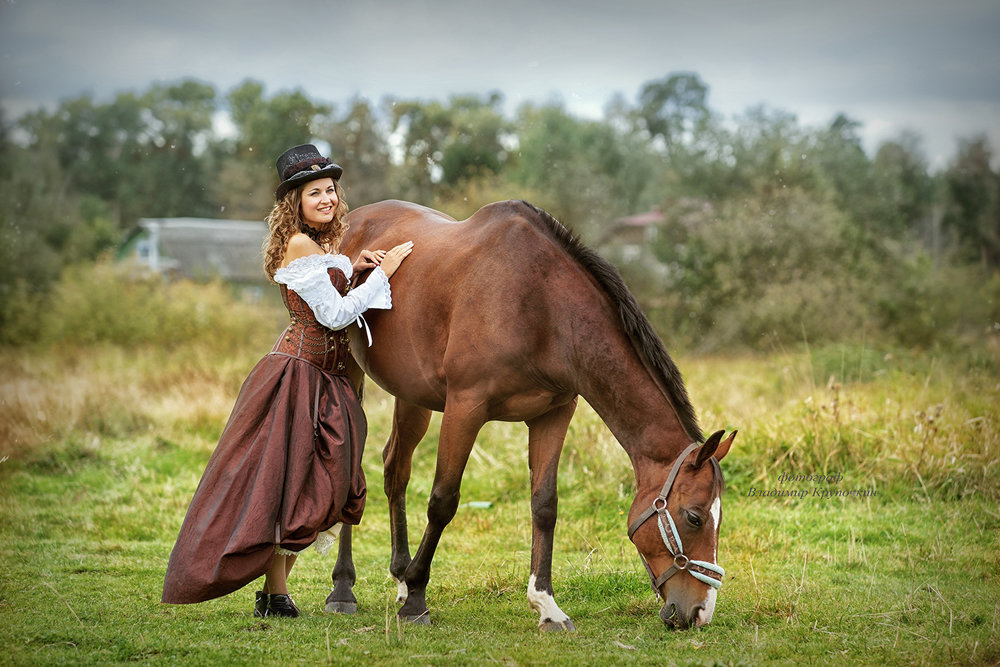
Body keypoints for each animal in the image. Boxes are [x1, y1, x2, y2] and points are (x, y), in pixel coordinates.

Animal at [326, 198, 736, 632]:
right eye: (694, 518)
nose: (699, 612)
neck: (542, 307)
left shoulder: (553, 415)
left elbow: (544, 505)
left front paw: (547, 605)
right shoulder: (465, 408)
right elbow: (443, 500)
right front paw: (418, 597)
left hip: (412, 396)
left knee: (396, 469)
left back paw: (400, 576)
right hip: (351, 374)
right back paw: (344, 587)